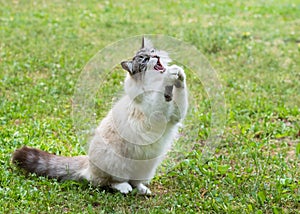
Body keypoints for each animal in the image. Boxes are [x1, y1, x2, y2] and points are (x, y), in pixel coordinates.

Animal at [13, 37, 190, 196]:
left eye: (152, 52)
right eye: (145, 60)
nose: (156, 56)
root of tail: (87, 162)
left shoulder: (176, 114)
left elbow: (180, 92)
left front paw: (179, 74)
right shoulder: (155, 109)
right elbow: (161, 93)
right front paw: (170, 75)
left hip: (147, 167)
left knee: (135, 182)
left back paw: (143, 190)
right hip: (115, 164)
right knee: (107, 182)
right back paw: (124, 188)